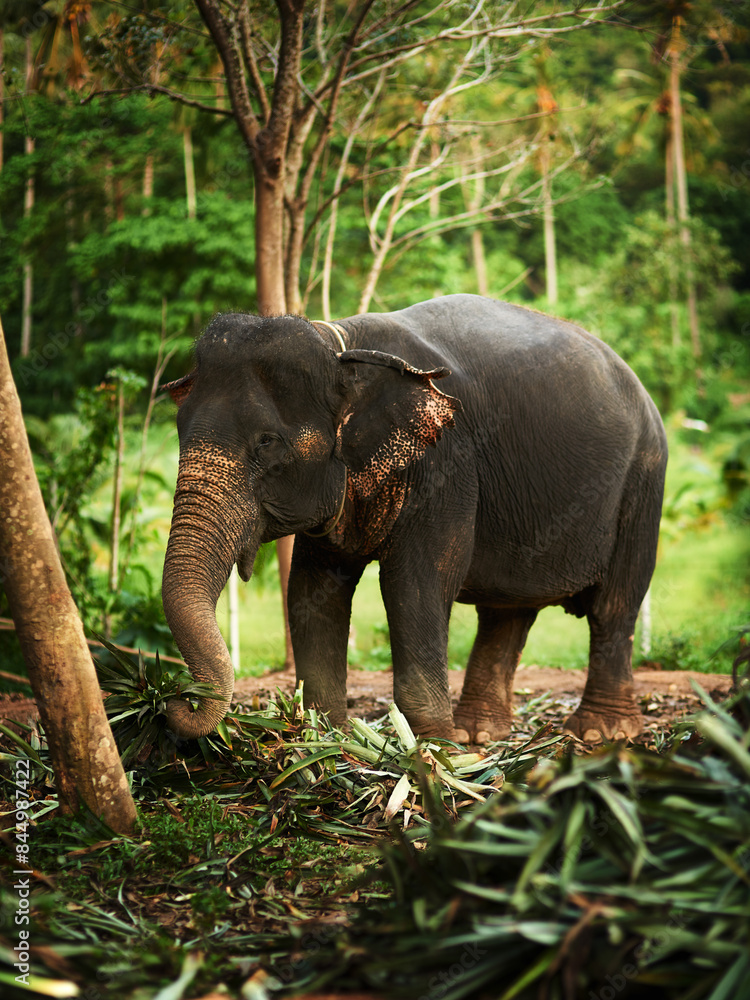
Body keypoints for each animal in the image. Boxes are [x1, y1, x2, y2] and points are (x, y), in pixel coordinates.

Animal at [161, 294, 667, 744]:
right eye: (179, 430)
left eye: (267, 442)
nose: (179, 701)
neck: (340, 346)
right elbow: (311, 588)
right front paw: (326, 737)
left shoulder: (445, 463)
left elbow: (416, 583)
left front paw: (431, 748)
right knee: (506, 613)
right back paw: (481, 734)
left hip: (643, 484)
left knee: (614, 605)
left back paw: (600, 732)